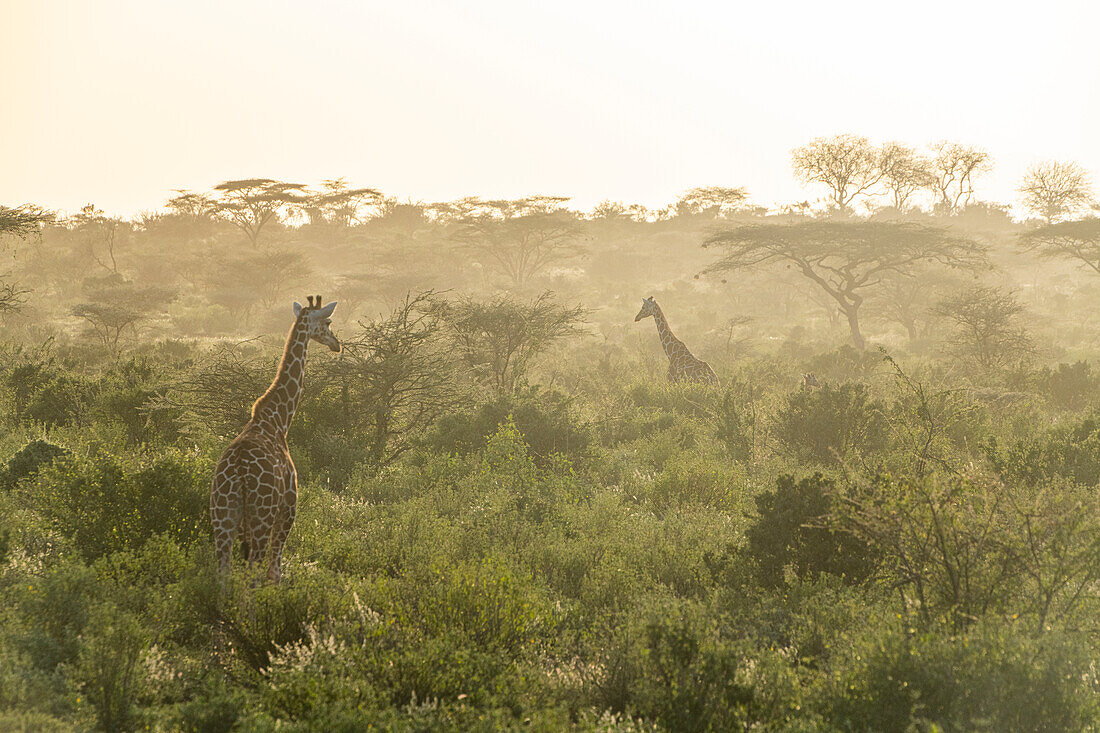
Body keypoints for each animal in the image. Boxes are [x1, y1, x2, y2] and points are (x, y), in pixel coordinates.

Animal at [209, 294, 338, 581]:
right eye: (328, 322)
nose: (337, 344)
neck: (278, 420)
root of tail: (239, 474)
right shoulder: (289, 508)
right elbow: (275, 572)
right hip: (262, 517)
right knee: (256, 571)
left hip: (222, 518)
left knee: (223, 572)